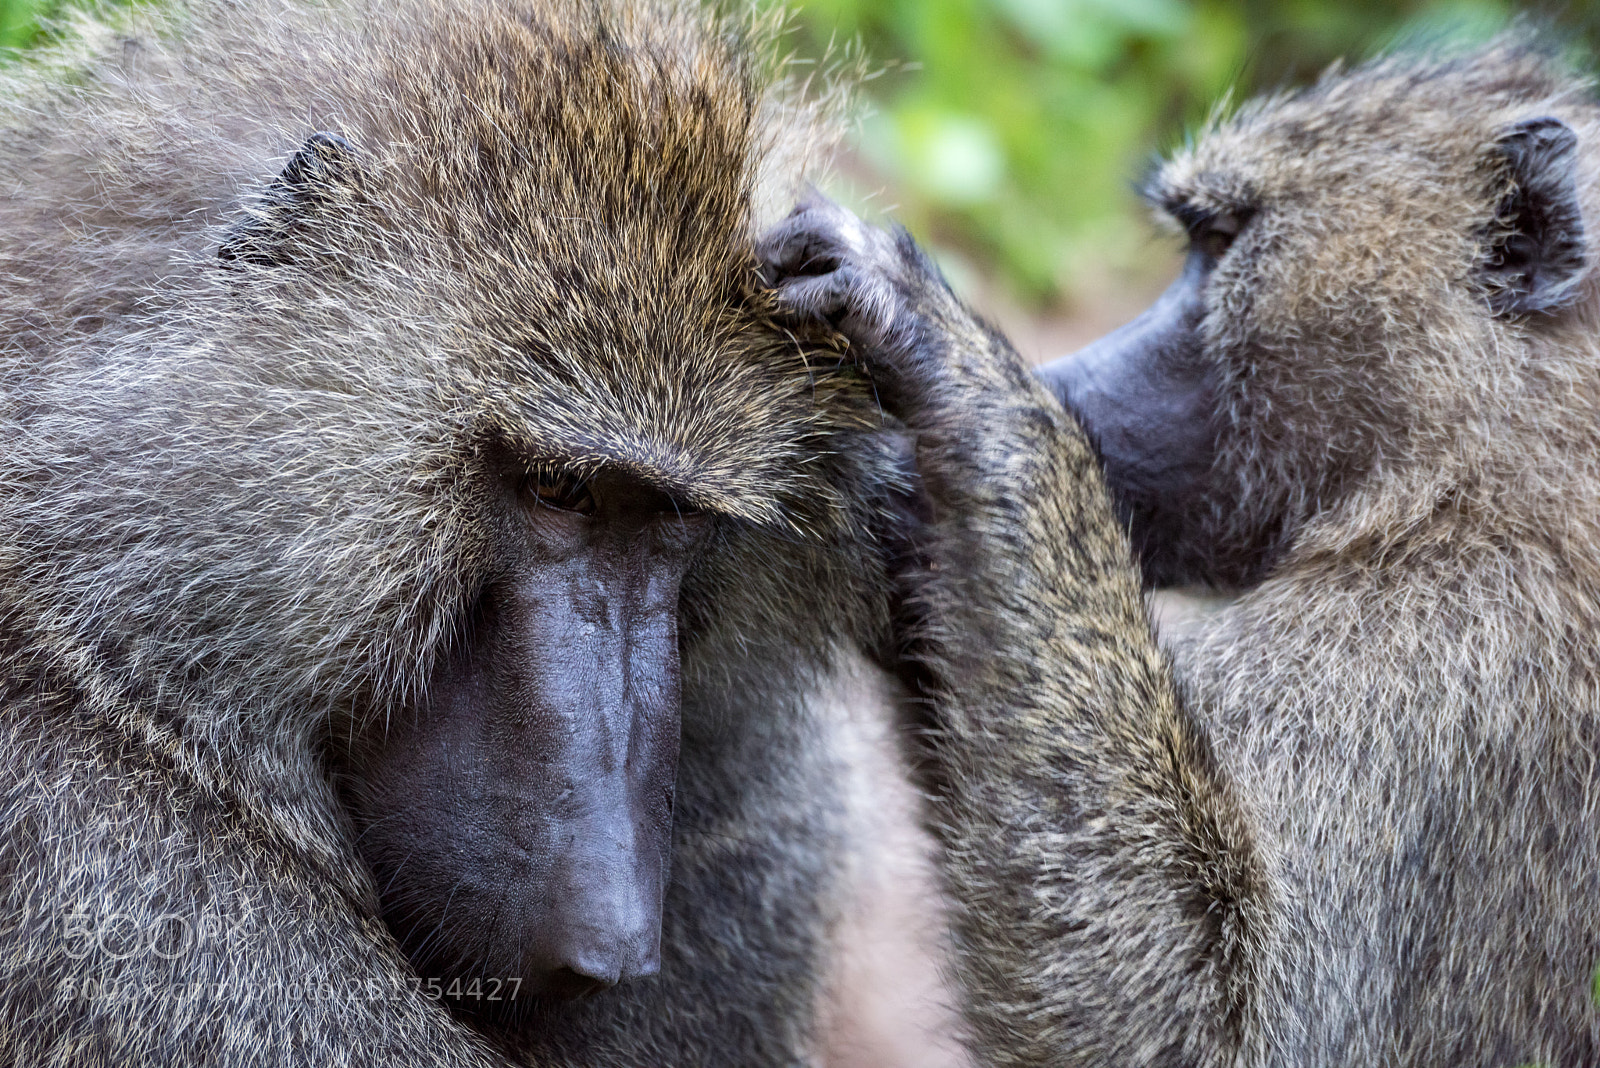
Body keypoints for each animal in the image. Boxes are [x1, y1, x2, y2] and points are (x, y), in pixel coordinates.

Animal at [758, 36, 1600, 1067]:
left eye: (1222, 241)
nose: (1071, 377)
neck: (1492, 455)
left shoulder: (1440, 659)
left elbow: (1198, 1024)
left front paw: (951, 368)